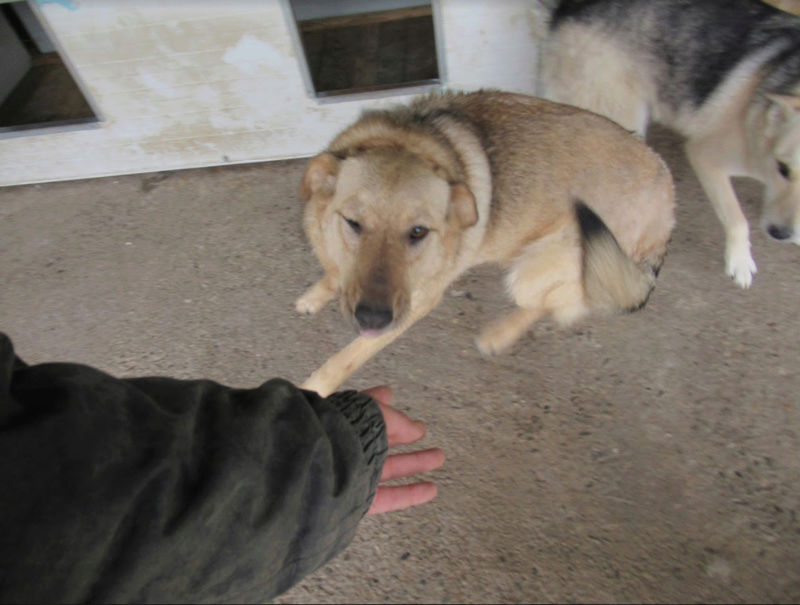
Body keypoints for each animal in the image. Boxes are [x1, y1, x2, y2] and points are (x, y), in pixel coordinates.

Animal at [296, 89, 672, 394]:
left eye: (418, 232)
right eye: (354, 223)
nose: (372, 319)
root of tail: (668, 202)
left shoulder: (417, 303)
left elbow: (345, 359)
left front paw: (314, 389)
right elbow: (334, 275)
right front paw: (317, 294)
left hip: (538, 269)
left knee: (551, 301)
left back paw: (499, 335)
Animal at [540, 0, 800, 288]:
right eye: (782, 168)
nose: (779, 233)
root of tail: (569, 6)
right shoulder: (705, 156)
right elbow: (737, 218)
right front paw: (740, 261)